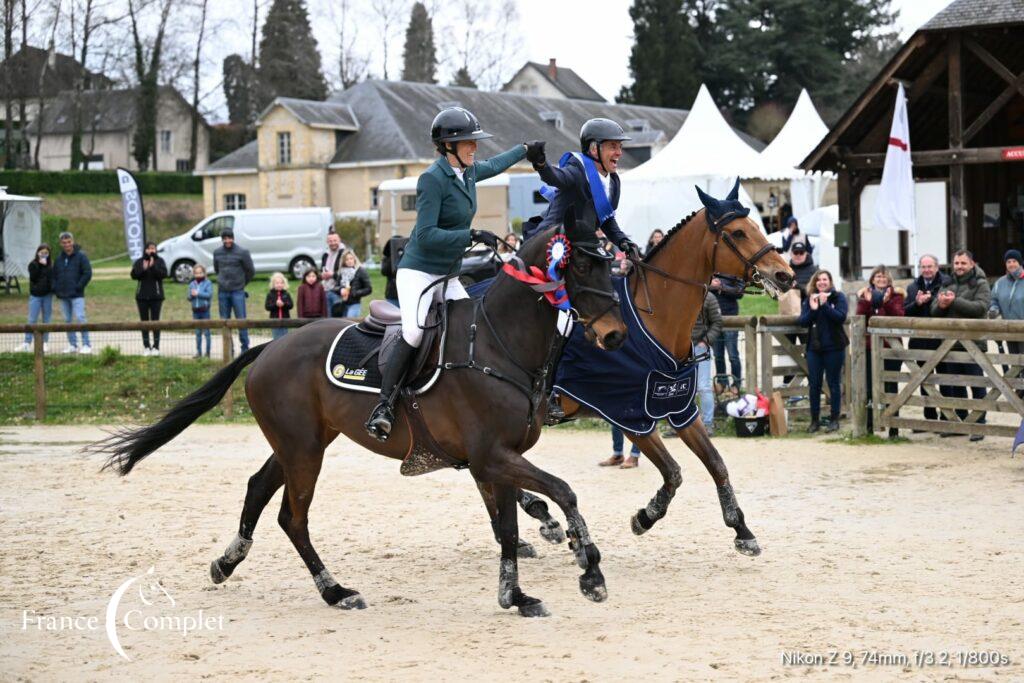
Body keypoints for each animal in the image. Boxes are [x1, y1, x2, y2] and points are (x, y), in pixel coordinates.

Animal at [92, 220, 626, 618]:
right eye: (581, 263)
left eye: (610, 261)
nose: (616, 334)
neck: (497, 343)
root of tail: (271, 347)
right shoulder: (491, 457)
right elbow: (561, 492)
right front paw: (590, 569)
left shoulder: (494, 461)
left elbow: (510, 526)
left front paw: (516, 595)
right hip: (304, 451)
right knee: (293, 518)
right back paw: (335, 591)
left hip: (302, 443)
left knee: (257, 488)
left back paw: (227, 562)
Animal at [509, 183, 790, 561]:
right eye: (738, 233)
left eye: (757, 226)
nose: (784, 275)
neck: (657, 318)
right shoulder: (631, 417)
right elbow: (673, 471)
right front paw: (645, 516)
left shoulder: (680, 409)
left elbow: (715, 463)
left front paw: (742, 531)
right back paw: (541, 519)